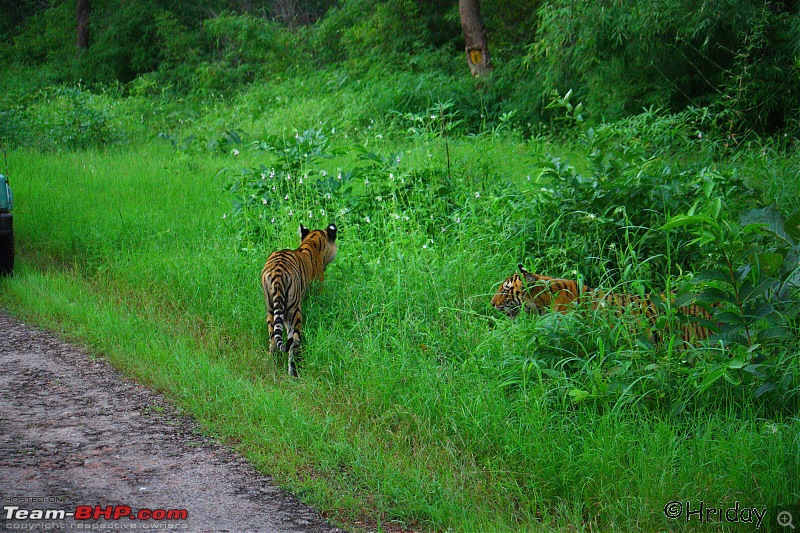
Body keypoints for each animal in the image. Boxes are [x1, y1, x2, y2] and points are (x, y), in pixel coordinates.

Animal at [262, 222, 338, 376]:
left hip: (270, 308)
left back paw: (272, 365)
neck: (313, 242)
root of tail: (278, 273)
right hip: (293, 310)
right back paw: (294, 372)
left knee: (273, 340)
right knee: (294, 340)